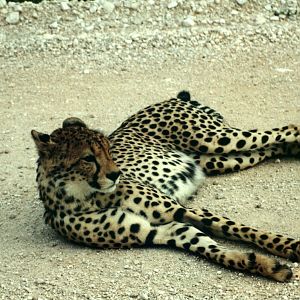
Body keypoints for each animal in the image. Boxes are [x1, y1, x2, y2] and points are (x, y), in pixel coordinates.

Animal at [31, 91, 298, 282]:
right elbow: (210, 247)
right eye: (88, 158)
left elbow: (240, 229)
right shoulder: (159, 231)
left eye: (108, 149)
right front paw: (263, 265)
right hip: (222, 159)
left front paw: (289, 246)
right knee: (268, 147)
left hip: (217, 140)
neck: (84, 196)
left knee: (285, 130)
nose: (116, 174)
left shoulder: (181, 209)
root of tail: (171, 98)